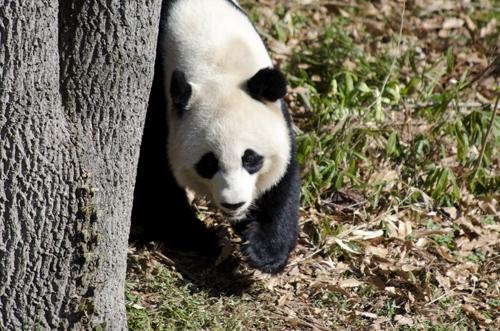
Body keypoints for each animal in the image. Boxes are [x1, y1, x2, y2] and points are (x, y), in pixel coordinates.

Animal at [131, 0, 298, 274]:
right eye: (208, 163)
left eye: (251, 159)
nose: (234, 205)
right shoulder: (158, 99)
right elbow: (154, 175)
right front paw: (200, 237)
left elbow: (283, 178)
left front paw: (264, 250)